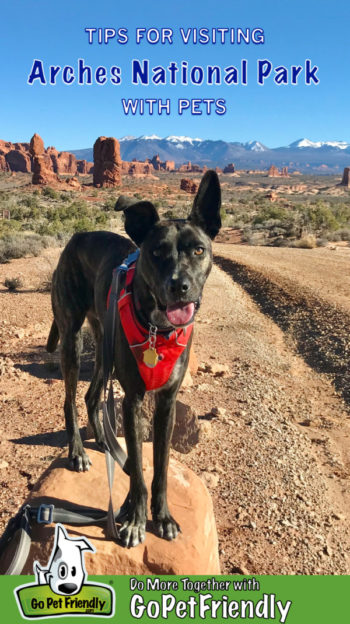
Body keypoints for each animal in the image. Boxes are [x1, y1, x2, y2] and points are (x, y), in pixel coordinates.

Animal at [46, 169, 221, 544]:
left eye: (199, 250)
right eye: (155, 252)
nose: (179, 286)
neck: (158, 330)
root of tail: (77, 237)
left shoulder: (167, 402)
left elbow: (160, 468)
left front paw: (163, 517)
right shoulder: (133, 399)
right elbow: (142, 473)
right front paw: (136, 519)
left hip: (105, 344)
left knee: (91, 394)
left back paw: (106, 442)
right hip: (72, 340)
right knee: (70, 399)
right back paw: (78, 451)